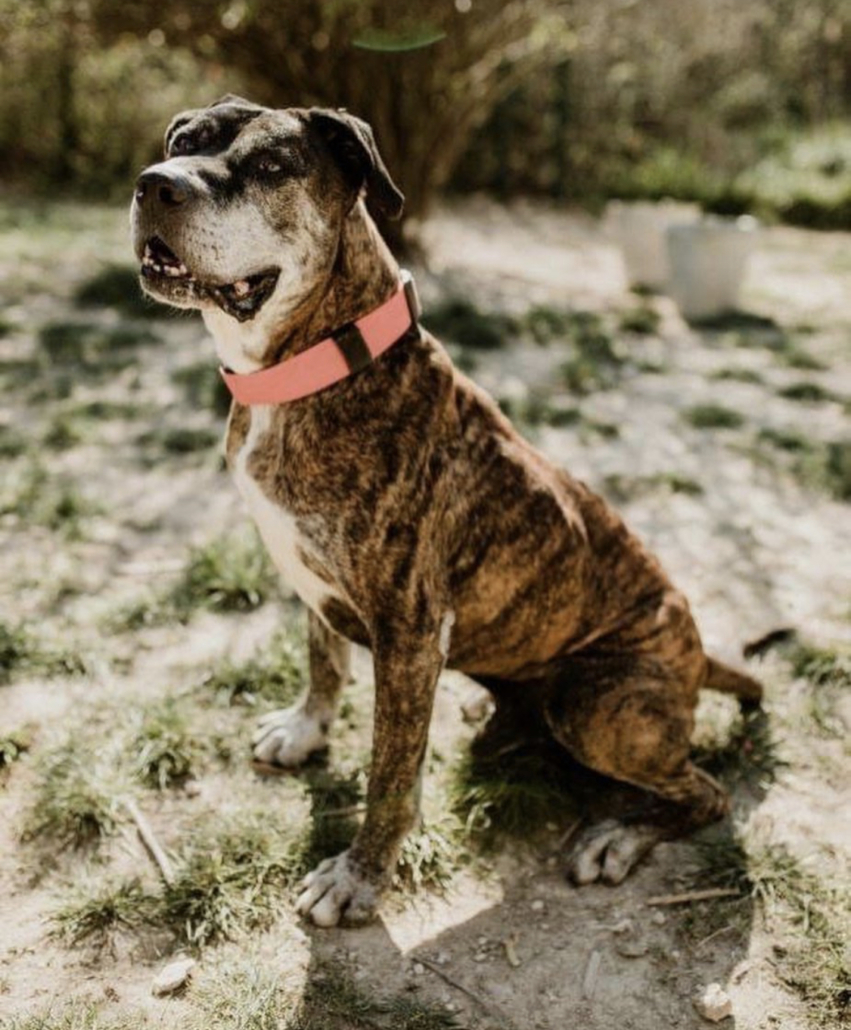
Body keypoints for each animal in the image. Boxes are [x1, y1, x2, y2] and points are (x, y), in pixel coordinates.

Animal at [132, 96, 762, 931]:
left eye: (270, 165)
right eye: (182, 141)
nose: (154, 184)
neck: (311, 369)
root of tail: (696, 655)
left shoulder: (406, 633)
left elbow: (389, 774)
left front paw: (358, 877)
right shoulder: (312, 581)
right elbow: (321, 660)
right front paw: (304, 730)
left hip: (597, 702)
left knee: (704, 790)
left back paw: (618, 838)